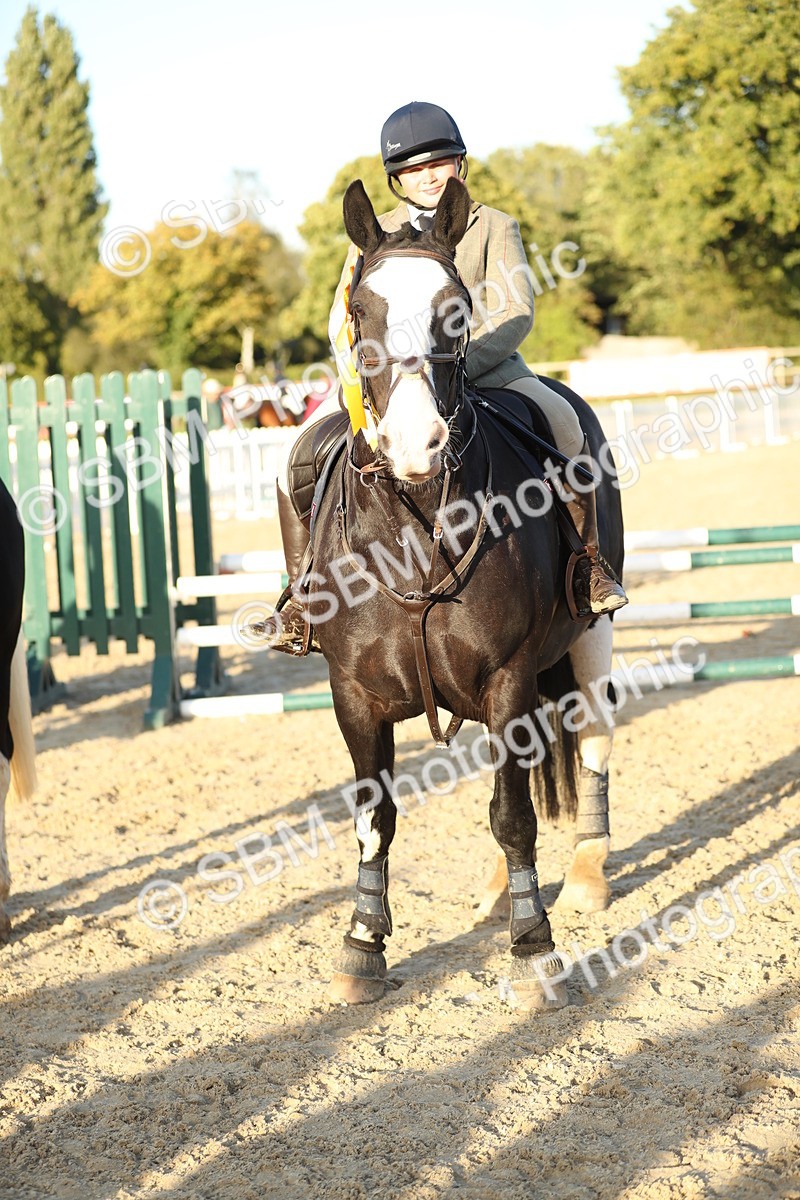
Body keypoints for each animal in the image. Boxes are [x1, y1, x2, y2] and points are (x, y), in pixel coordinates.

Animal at [308, 177, 624, 1011]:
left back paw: (585, 876)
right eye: (360, 310)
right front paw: (362, 945)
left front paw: (535, 950)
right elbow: (376, 816)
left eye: (457, 308)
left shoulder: (508, 675)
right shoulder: (352, 692)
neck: (416, 528)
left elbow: (514, 816)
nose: (416, 445)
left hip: (591, 640)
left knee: (593, 741)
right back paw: (497, 892)